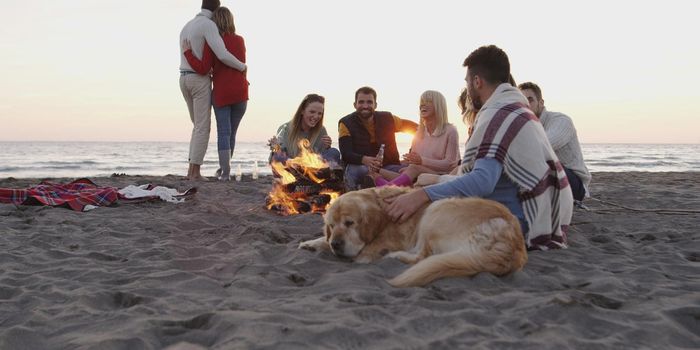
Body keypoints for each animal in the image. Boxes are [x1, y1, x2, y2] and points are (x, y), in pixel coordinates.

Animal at [298, 186, 528, 288]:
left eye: (349, 223)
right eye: (331, 225)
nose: (337, 244)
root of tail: (513, 246)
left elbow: (366, 250)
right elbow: (322, 240)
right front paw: (311, 243)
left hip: (437, 209)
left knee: (422, 256)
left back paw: (394, 256)